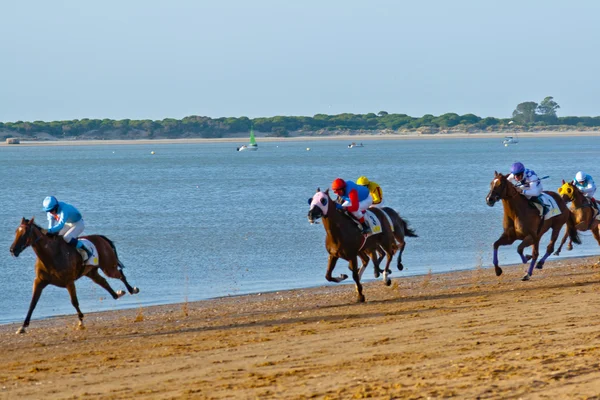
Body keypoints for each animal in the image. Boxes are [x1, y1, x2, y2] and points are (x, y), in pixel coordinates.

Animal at [8, 217, 140, 332]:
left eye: (25, 233)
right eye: (16, 232)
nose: (12, 250)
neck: (51, 255)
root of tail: (101, 237)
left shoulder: (69, 281)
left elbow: (74, 301)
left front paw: (81, 322)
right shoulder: (39, 281)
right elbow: (32, 303)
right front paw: (23, 327)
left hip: (108, 267)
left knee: (120, 274)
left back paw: (132, 289)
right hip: (92, 272)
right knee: (104, 282)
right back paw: (118, 293)